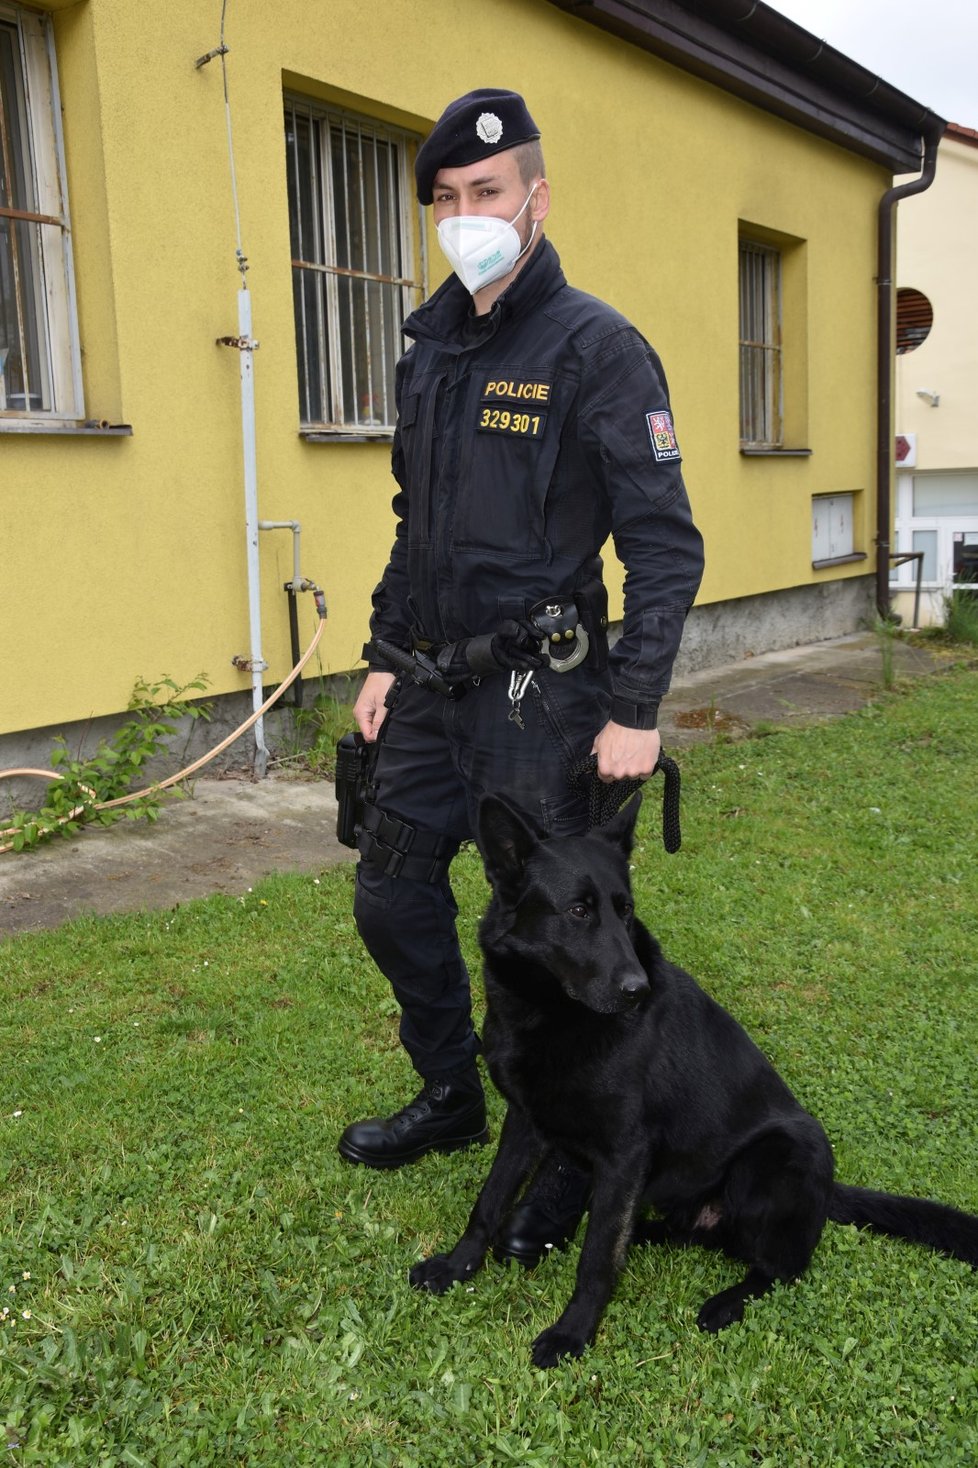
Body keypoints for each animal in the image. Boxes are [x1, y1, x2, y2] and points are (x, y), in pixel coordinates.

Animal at [408, 798, 975, 1368]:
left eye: (626, 909)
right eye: (578, 911)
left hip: (779, 1153)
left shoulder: (625, 1153)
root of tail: (827, 1193)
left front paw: (573, 1333)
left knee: (781, 1268)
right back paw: (642, 1234)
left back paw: (726, 1301)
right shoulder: (525, 1123)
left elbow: (596, 1259)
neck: (553, 1012)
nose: (637, 991)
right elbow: (490, 1200)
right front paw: (456, 1267)